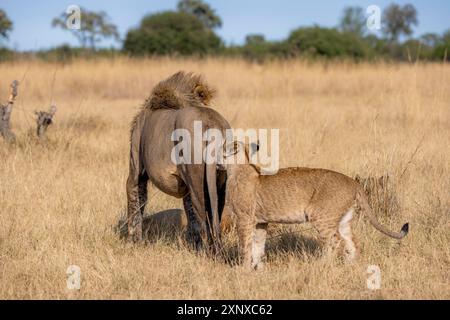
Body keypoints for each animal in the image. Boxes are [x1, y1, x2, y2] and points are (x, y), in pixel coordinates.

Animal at [127, 70, 230, 252]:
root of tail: (211, 126)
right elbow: (190, 215)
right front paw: (194, 244)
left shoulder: (136, 166)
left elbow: (136, 202)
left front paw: (133, 242)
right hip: (220, 180)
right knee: (213, 214)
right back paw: (214, 251)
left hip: (197, 180)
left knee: (203, 216)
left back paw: (206, 253)